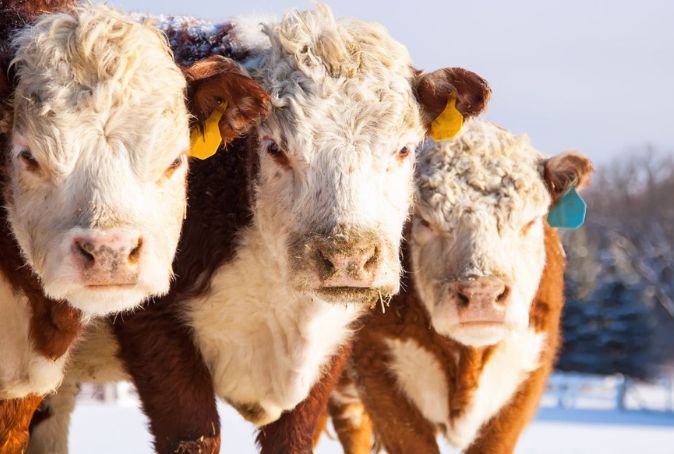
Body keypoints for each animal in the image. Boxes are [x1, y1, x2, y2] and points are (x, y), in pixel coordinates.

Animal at [28, 4, 490, 454]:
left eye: (404, 149)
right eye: (275, 148)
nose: (348, 258)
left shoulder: (332, 346)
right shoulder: (154, 324)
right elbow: (193, 434)